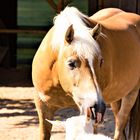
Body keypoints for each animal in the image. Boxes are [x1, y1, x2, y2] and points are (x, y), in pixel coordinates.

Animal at [32, 7, 140, 139]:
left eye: (101, 61)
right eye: (71, 63)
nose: (98, 107)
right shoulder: (43, 106)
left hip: (132, 93)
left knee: (121, 121)